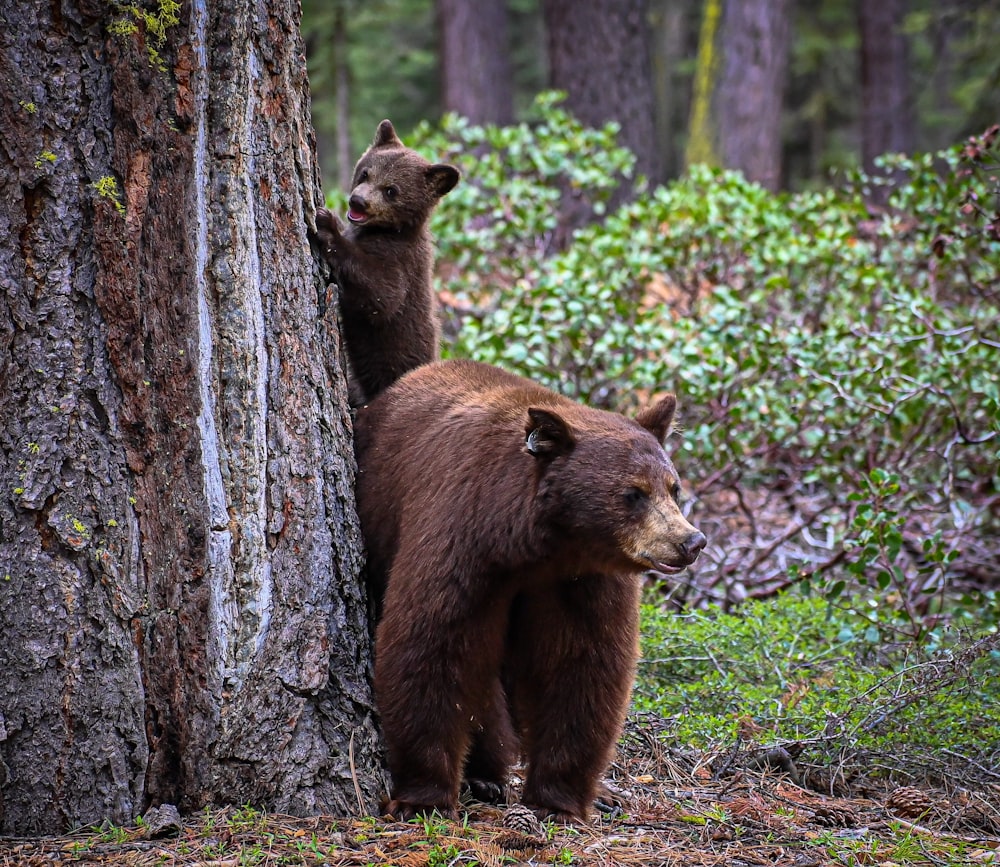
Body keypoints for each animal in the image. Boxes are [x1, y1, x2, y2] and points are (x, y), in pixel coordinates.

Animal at [356, 358, 708, 820]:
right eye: (634, 493)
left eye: (673, 487)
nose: (690, 541)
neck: (530, 545)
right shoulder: (462, 538)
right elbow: (431, 645)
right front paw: (423, 796)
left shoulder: (580, 580)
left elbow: (581, 667)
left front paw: (558, 801)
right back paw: (484, 774)